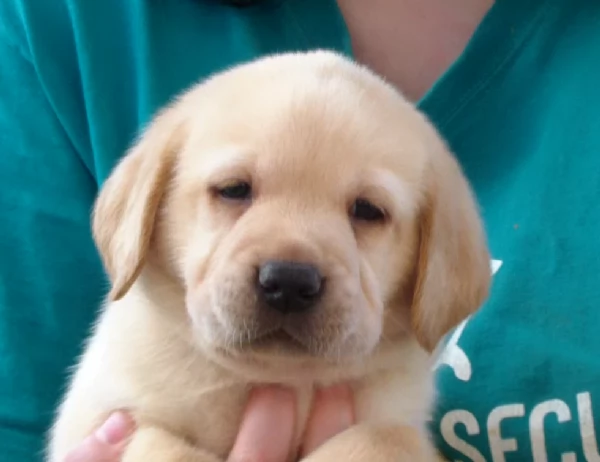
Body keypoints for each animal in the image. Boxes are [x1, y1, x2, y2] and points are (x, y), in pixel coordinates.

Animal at [45, 51, 488, 462]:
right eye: (233, 189)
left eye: (367, 211)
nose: (290, 283)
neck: (281, 376)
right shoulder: (103, 418)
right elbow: (165, 447)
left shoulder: (398, 419)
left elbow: (387, 437)